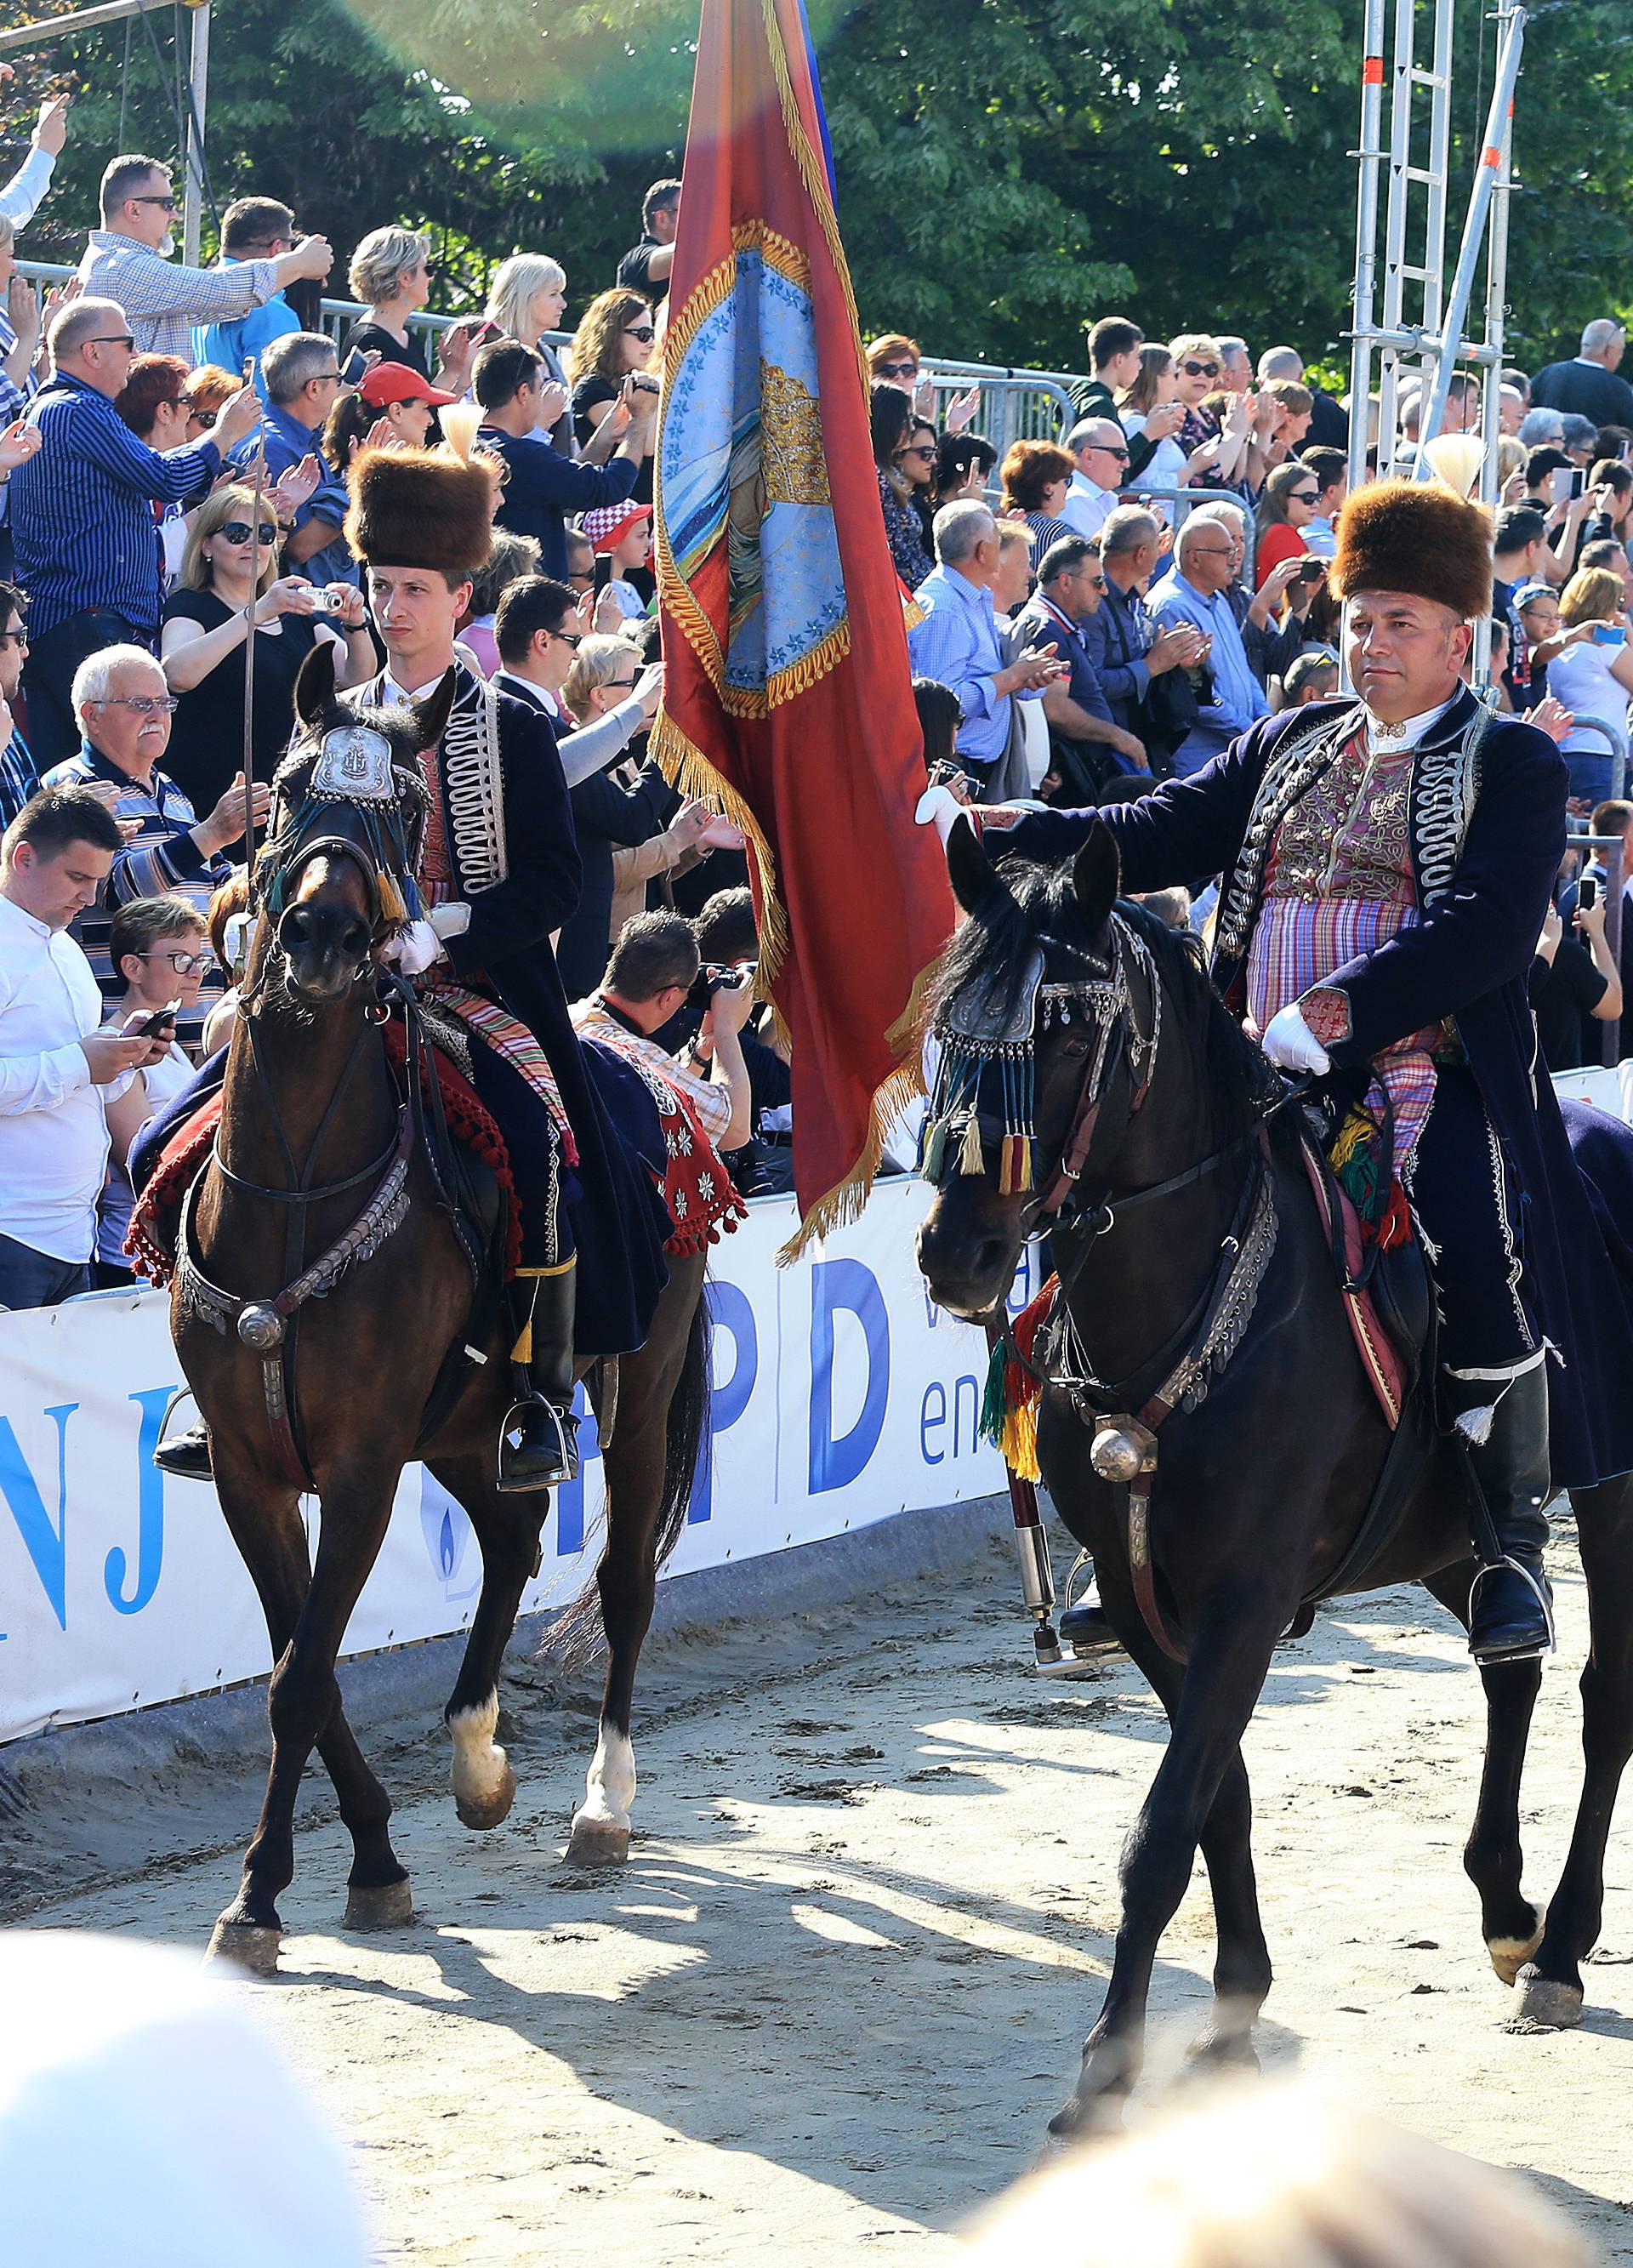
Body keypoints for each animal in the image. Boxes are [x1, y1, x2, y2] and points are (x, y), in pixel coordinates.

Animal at [912, 825, 1633, 2132]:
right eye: (950, 1031)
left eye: (1072, 1033)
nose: (959, 1252)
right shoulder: (1155, 1601)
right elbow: (1219, 1799)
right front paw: (1237, 2009)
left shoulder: (1245, 1596)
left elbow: (1161, 1828)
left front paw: (1109, 2064)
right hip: (1446, 1535)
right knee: (1513, 1653)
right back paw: (1505, 1905)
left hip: (1612, 1492)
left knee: (1605, 1696)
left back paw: (1559, 1945)